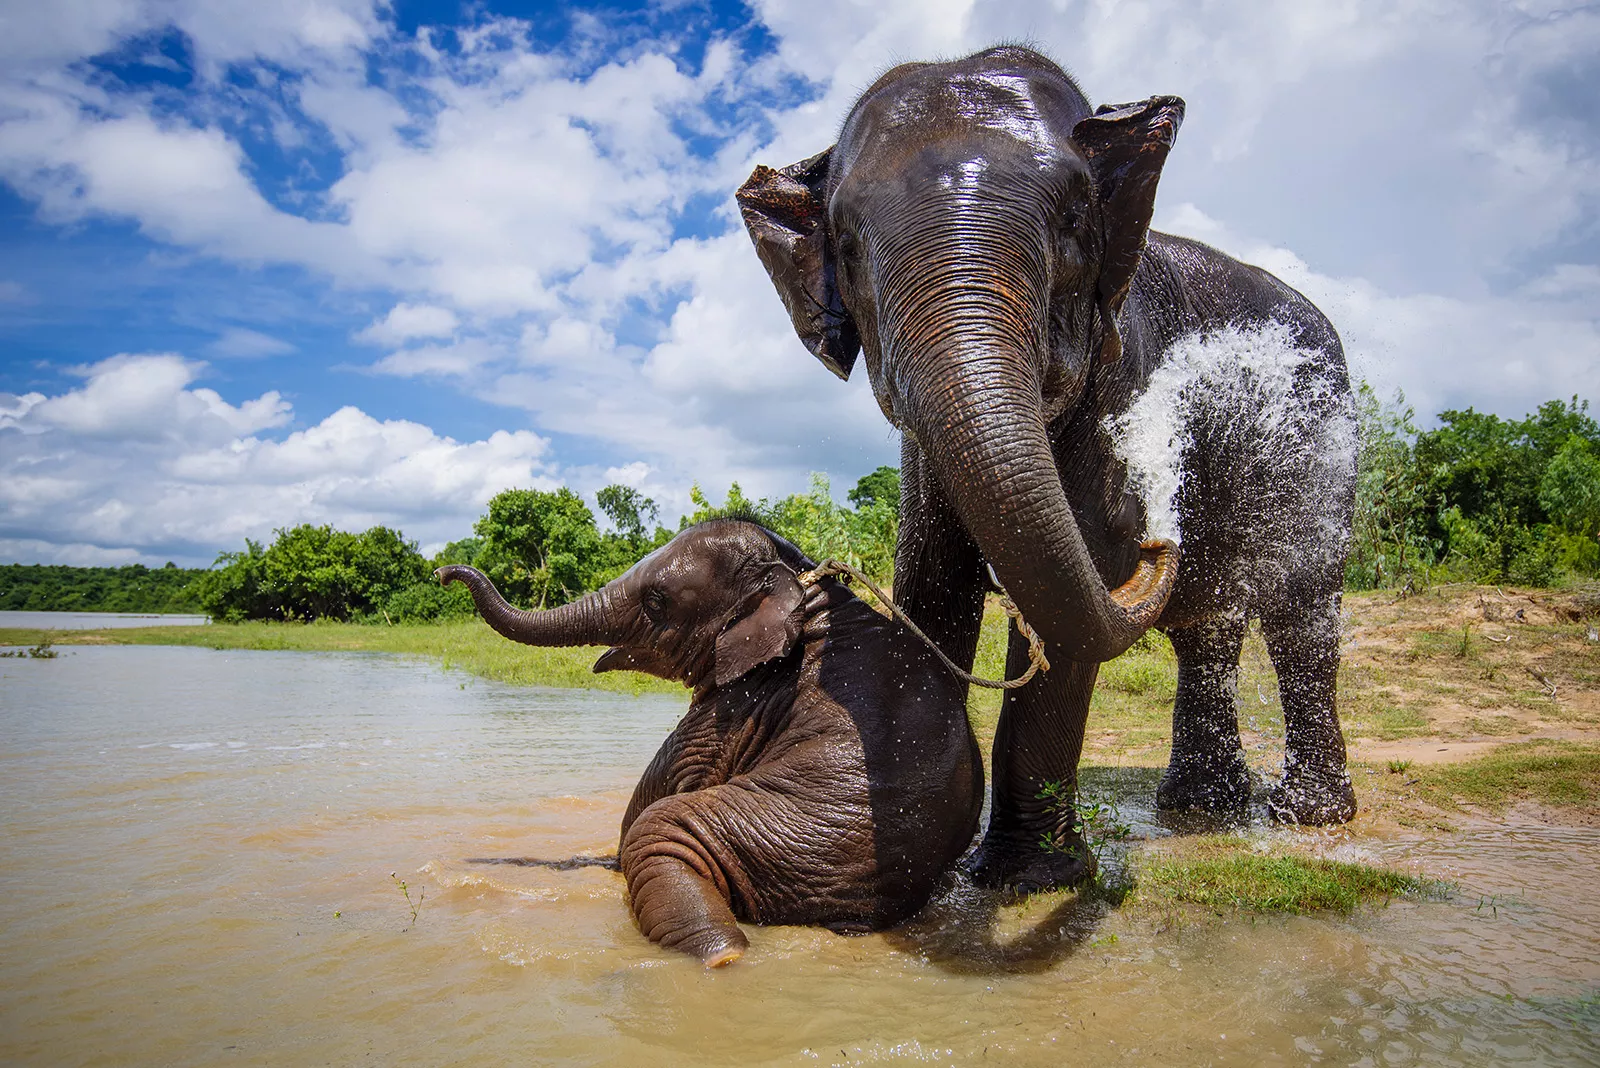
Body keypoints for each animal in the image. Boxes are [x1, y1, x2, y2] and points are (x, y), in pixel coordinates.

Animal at [444, 518, 979, 965]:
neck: (800, 578)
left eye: (656, 601)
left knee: (658, 833)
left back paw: (722, 955)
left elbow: (652, 799)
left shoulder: (731, 710)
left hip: (781, 842)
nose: (444, 573)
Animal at [742, 43, 1356, 895]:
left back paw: (1308, 818)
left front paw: (1031, 880)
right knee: (1208, 629)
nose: (1159, 535)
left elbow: (1082, 579)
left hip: (1318, 439)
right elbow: (932, 580)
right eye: (849, 248)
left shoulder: (1123, 370)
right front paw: (931, 867)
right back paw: (1201, 807)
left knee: (1302, 612)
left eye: (1072, 222)